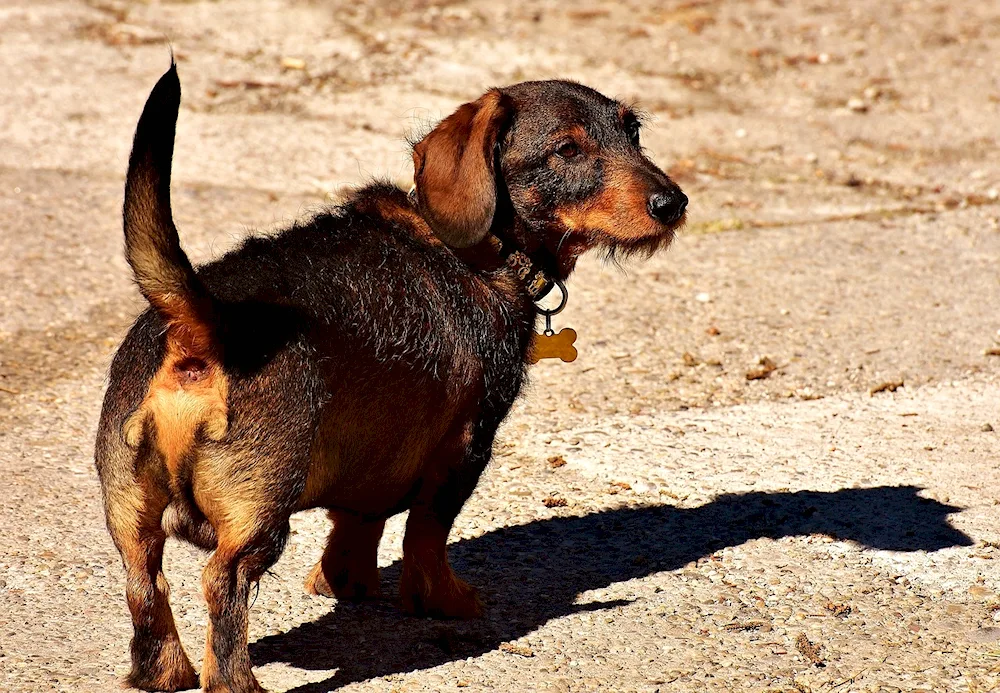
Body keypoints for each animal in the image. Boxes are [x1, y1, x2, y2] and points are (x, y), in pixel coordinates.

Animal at [95, 60, 688, 692]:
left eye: (633, 133)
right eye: (568, 150)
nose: (672, 202)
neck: (478, 252)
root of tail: (200, 325)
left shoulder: (376, 450)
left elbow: (360, 521)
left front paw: (343, 582)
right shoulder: (465, 449)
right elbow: (427, 533)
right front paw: (445, 600)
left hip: (128, 512)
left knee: (144, 582)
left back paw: (164, 672)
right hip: (259, 512)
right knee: (222, 584)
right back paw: (237, 683)